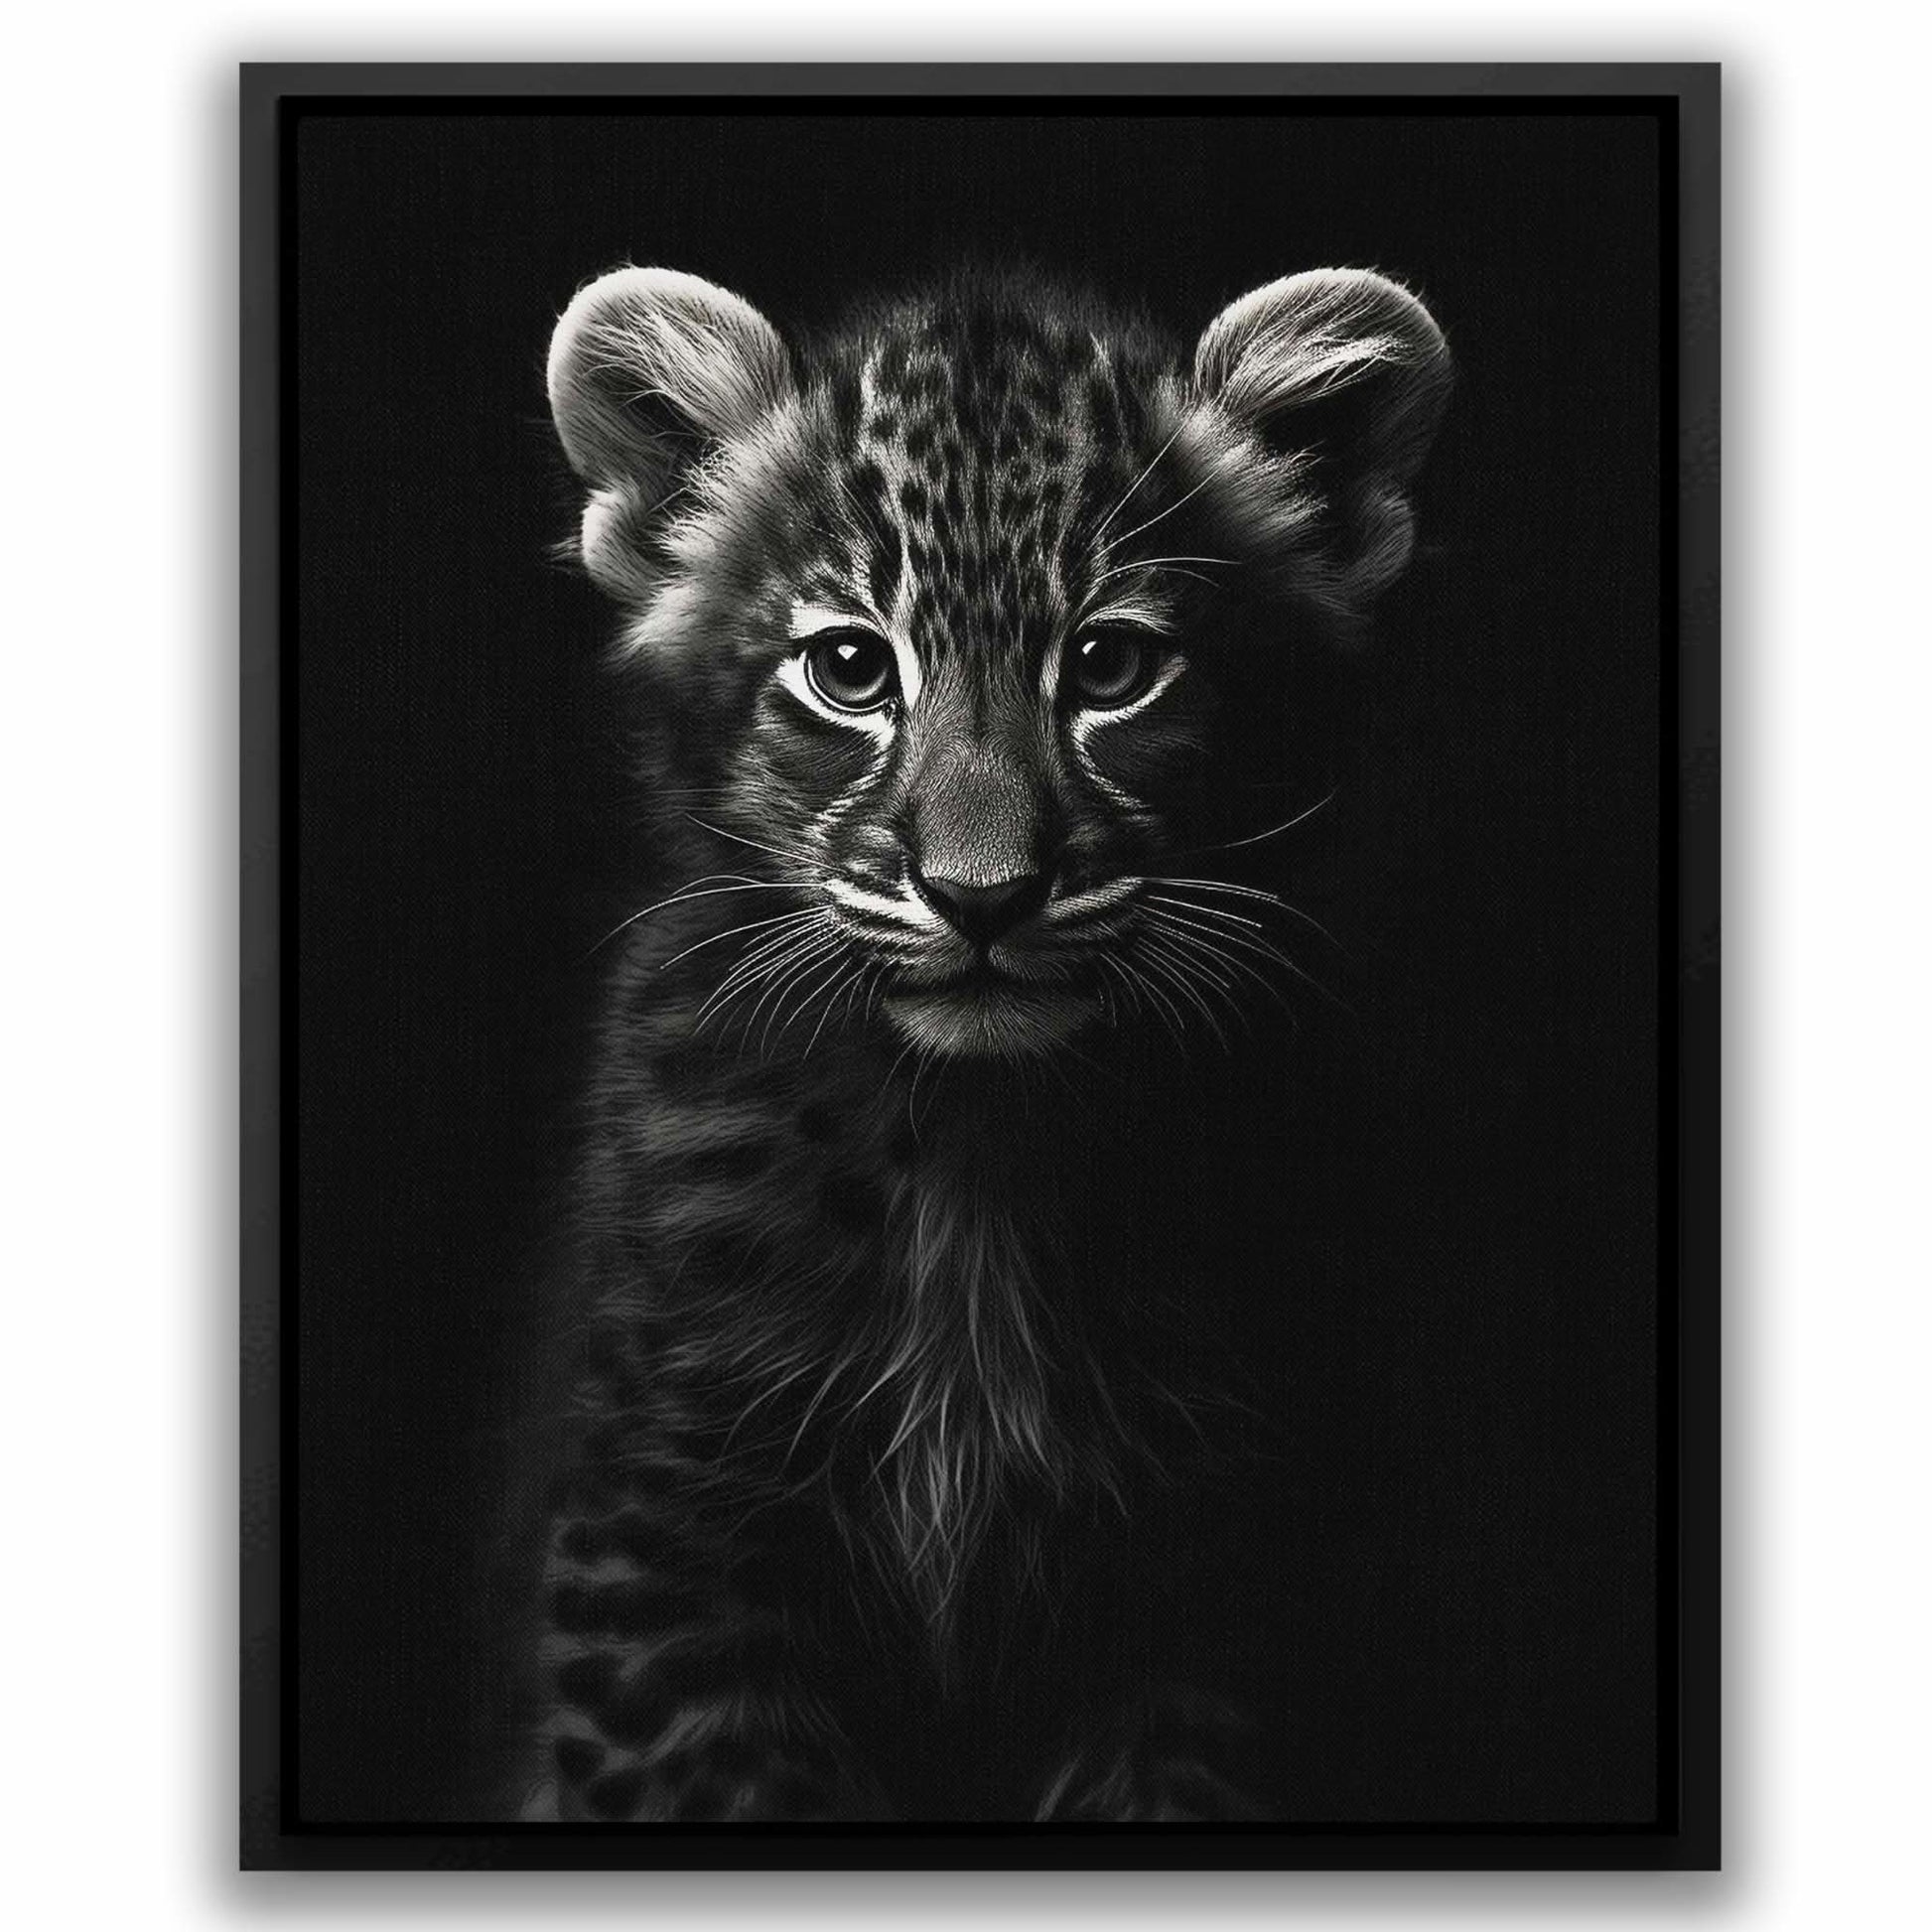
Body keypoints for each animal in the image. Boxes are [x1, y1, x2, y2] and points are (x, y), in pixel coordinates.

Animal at [510, 261, 1451, 1822]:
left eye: (1113, 666)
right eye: (846, 669)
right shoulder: (670, 1533)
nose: (982, 894)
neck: (976, 1147)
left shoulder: (1212, 1575)